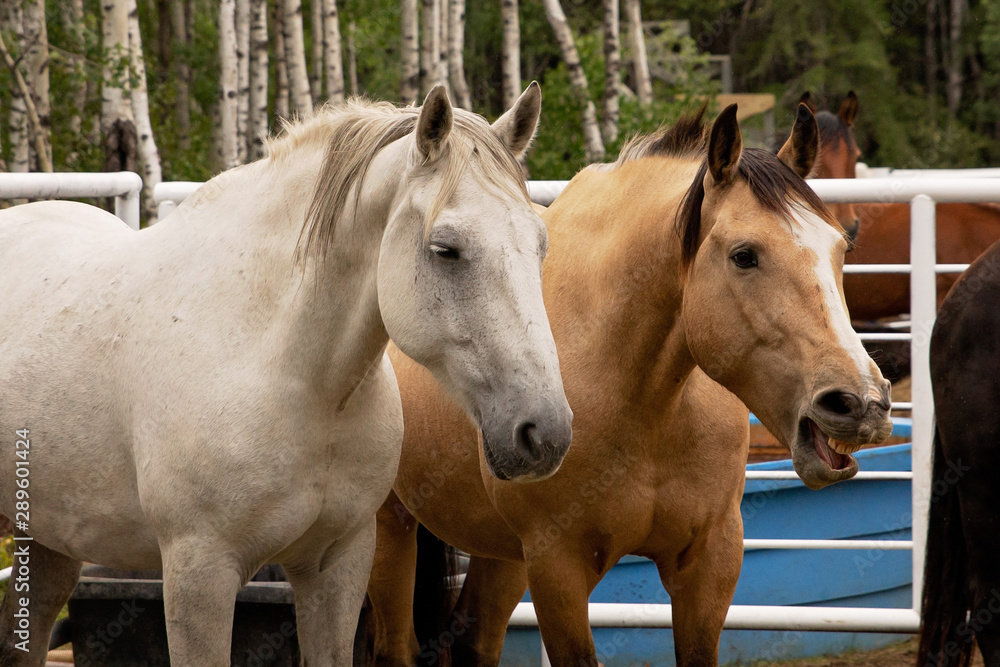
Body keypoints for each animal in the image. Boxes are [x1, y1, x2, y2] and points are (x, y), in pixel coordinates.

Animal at [0, 87, 572, 667]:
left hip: (49, 539)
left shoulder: (336, 566)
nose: (544, 433)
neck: (298, 380)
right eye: (445, 249)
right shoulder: (198, 571)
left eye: (541, 245)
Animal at [366, 103, 892, 667]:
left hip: (502, 552)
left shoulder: (711, 562)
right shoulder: (558, 567)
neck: (647, 404)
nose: (860, 402)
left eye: (841, 247)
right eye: (744, 255)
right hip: (388, 527)